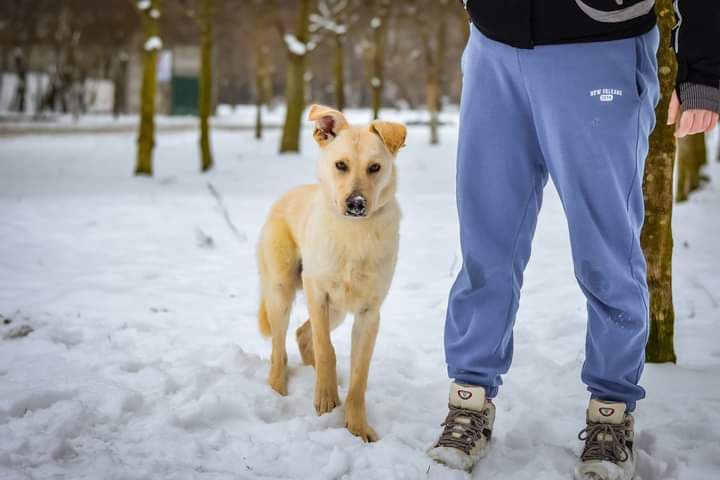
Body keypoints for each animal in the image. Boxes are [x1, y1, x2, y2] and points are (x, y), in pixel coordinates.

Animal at [258, 105, 404, 442]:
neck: (354, 232)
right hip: (282, 292)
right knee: (279, 347)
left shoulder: (369, 314)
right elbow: (326, 350)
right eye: (341, 165)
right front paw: (325, 399)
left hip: (337, 311)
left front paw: (357, 425)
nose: (357, 204)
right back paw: (278, 387)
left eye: (375, 167)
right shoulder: (318, 294)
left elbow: (360, 376)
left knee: (302, 335)